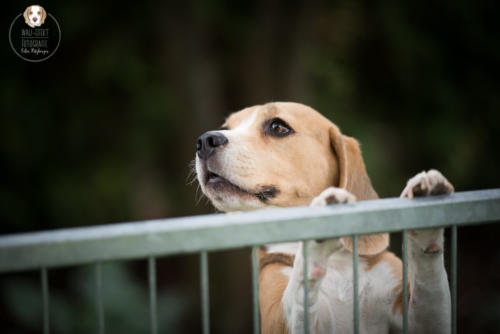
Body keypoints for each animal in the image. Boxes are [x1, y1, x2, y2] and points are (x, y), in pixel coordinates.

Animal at [194, 102, 454, 334]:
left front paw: (427, 222)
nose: (205, 140)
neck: (339, 266)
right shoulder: (283, 319)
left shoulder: (421, 315)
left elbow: (429, 284)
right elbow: (299, 289)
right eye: (226, 127)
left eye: (277, 127)